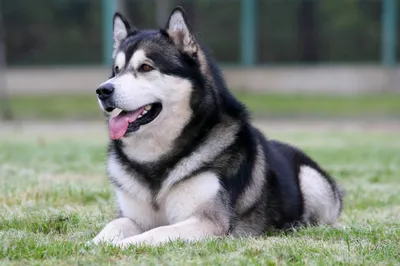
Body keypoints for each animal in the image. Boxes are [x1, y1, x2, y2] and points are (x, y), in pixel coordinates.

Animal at [92, 6, 342, 247]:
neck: (156, 159)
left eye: (145, 67)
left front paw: (124, 244)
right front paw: (95, 244)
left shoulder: (208, 221)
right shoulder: (132, 216)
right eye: (116, 70)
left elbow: (156, 232)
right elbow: (113, 226)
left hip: (312, 180)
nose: (103, 90)